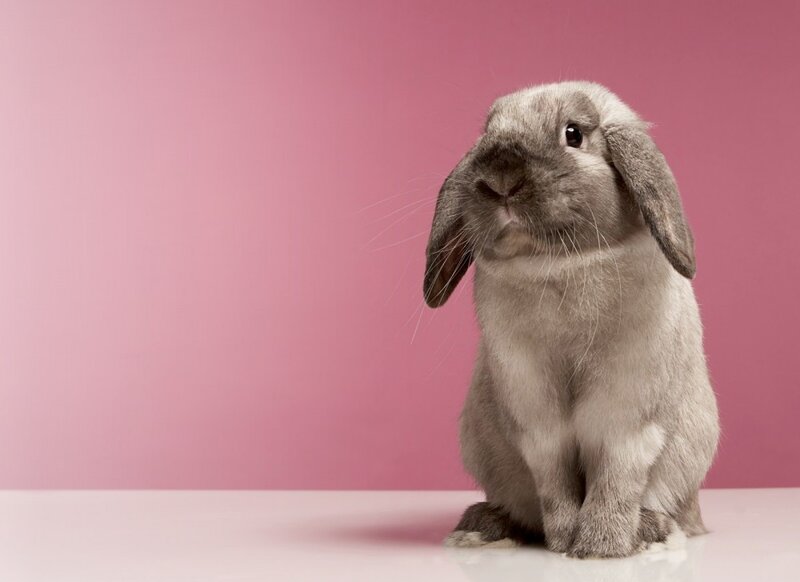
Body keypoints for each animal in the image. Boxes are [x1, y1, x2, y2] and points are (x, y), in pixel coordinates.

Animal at [423, 81, 719, 559]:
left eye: (574, 133)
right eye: (488, 132)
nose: (500, 179)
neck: (559, 265)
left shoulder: (627, 416)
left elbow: (615, 477)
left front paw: (602, 547)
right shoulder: (536, 420)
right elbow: (555, 480)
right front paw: (563, 541)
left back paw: (651, 531)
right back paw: (482, 527)